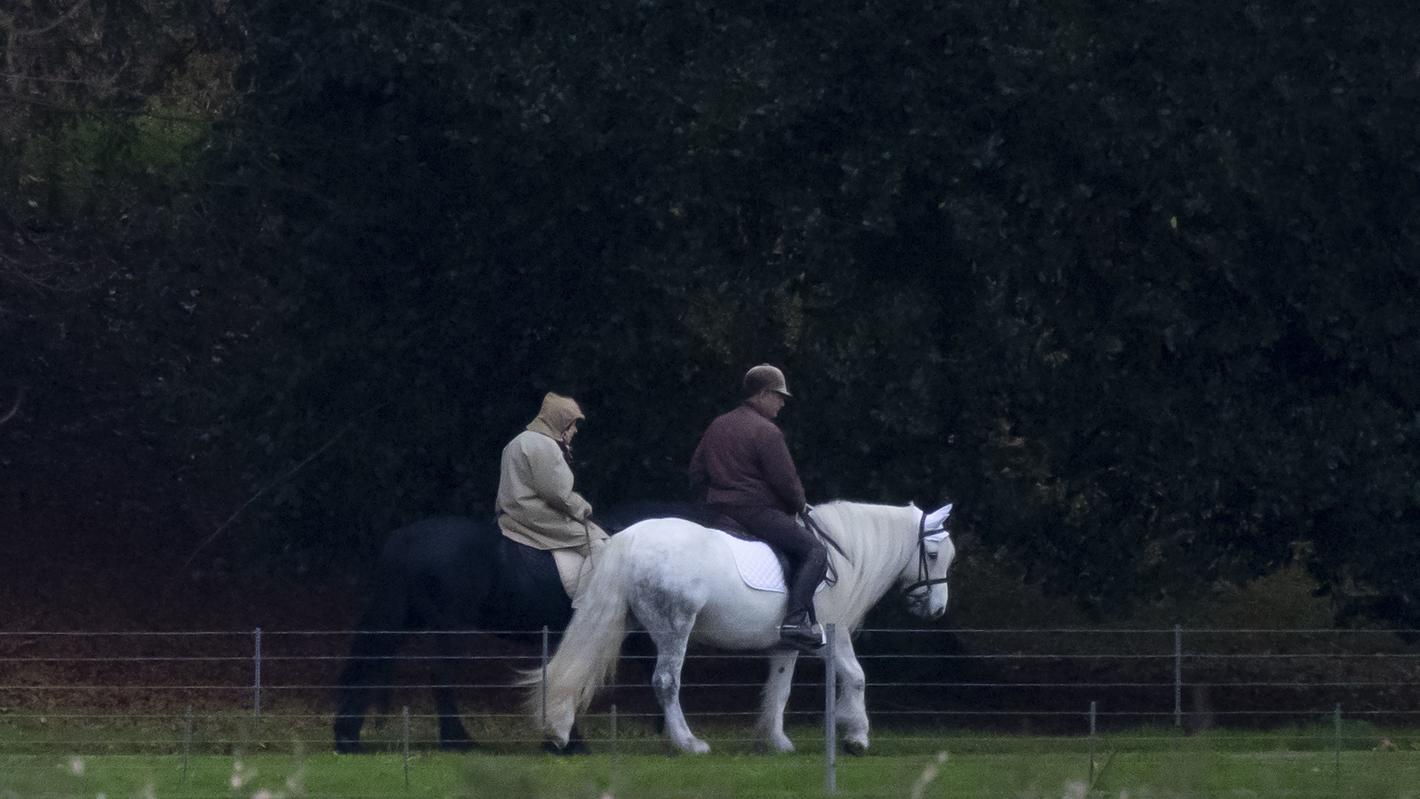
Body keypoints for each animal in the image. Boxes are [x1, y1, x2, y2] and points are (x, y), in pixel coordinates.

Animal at [332, 502, 687, 755]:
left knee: (371, 663)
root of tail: (405, 538)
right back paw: (454, 741)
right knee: (440, 675)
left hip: (405, 620)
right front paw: (566, 741)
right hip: (449, 626)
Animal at [525, 499, 954, 755]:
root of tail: (631, 537)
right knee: (666, 682)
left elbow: (780, 690)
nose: (937, 610)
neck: (841, 557)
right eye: (933, 554)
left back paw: (559, 732)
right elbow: (855, 676)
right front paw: (856, 735)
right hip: (674, 628)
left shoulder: (788, 644)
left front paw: (776, 740)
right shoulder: (833, 634)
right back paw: (688, 743)